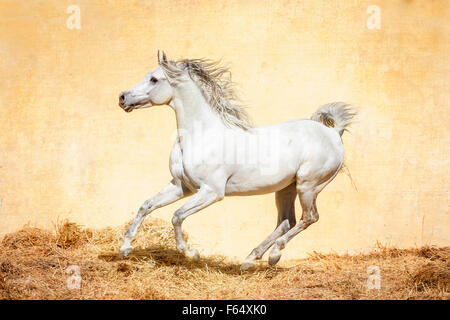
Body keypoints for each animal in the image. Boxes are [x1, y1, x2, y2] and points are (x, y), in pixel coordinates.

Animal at [117, 50, 356, 270]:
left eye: (154, 79)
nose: (122, 97)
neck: (201, 135)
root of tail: (333, 133)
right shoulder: (182, 187)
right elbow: (146, 205)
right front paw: (125, 248)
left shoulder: (211, 192)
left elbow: (176, 216)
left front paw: (191, 254)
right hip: (286, 188)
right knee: (287, 221)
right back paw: (250, 259)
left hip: (308, 186)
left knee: (309, 217)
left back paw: (274, 255)